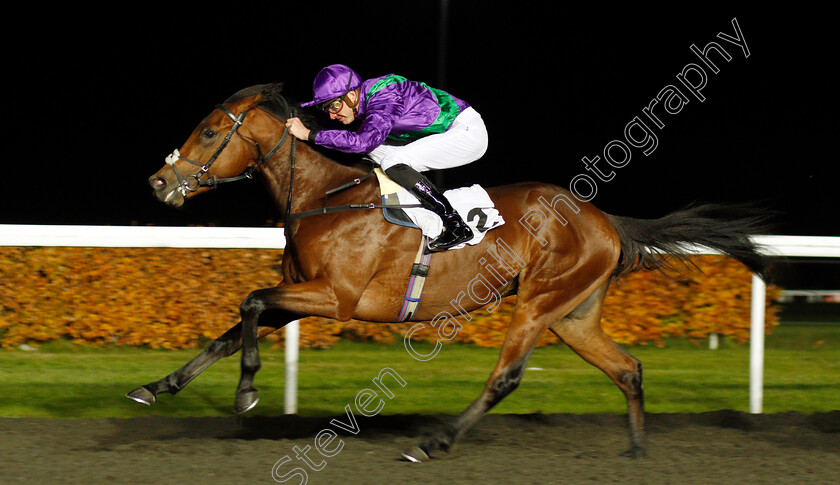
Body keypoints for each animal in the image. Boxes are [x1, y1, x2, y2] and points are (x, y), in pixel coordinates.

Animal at [131, 84, 768, 462]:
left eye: (210, 132)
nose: (159, 183)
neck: (324, 197)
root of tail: (602, 217)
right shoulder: (301, 292)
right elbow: (233, 325)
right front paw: (156, 386)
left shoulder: (334, 297)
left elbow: (251, 302)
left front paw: (246, 393)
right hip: (573, 315)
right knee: (627, 368)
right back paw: (635, 451)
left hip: (538, 302)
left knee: (506, 377)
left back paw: (435, 441)